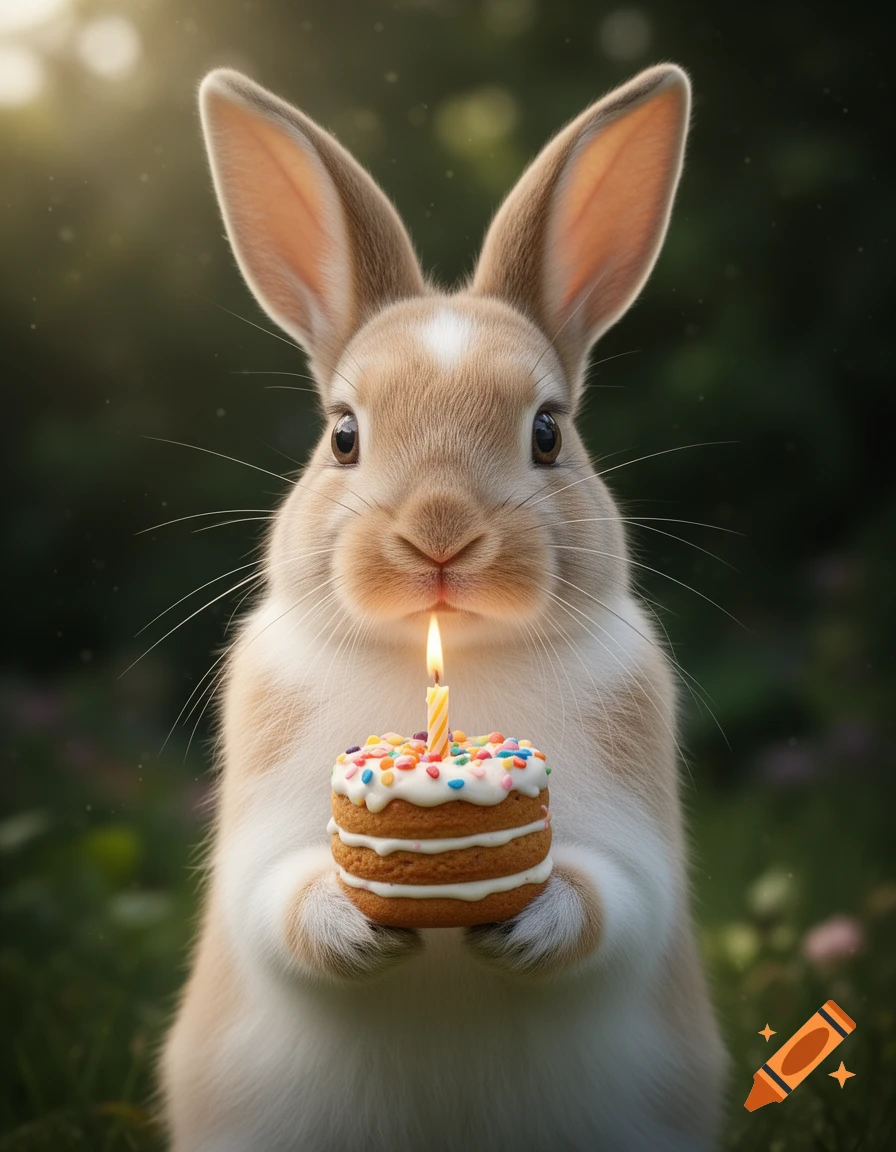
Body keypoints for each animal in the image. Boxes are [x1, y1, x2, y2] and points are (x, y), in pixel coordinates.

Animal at [159, 63, 728, 1152]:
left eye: (548, 433)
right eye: (342, 435)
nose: (439, 532)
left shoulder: (635, 842)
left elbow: (613, 900)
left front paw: (529, 924)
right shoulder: (262, 837)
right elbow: (275, 901)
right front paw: (355, 926)